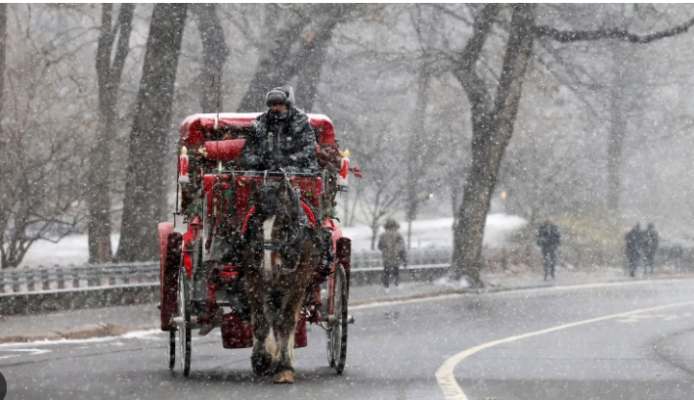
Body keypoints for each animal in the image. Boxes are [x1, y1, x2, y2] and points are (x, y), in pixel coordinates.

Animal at [243, 179, 320, 384]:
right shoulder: (254, 282)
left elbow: (287, 322)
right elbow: (261, 322)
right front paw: (262, 358)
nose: (269, 268)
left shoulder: (297, 285)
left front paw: (283, 366)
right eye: (255, 223)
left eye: (285, 222)